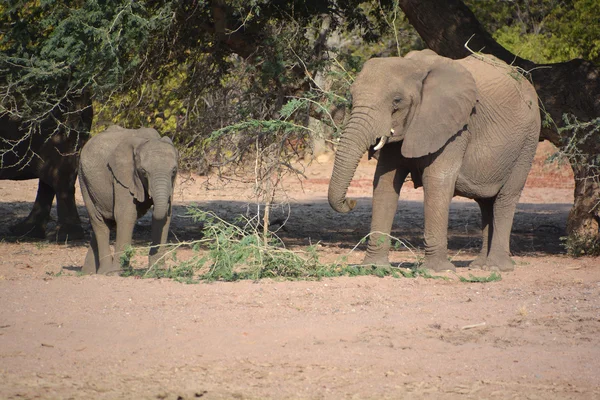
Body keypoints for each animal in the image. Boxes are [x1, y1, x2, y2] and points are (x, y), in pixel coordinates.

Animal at [77, 126, 178, 276]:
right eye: (143, 171)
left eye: (174, 171)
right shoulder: (122, 177)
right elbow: (126, 215)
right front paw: (117, 273)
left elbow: (165, 217)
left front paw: (158, 272)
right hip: (83, 180)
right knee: (99, 222)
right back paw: (105, 272)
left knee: (107, 222)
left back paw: (88, 273)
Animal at [330, 47, 540, 272]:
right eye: (351, 96)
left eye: (397, 101)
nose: (352, 201)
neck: (416, 67)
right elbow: (384, 182)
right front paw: (374, 268)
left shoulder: (456, 127)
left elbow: (437, 181)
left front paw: (437, 271)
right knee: (486, 202)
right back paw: (478, 266)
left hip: (528, 141)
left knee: (505, 198)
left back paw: (496, 268)